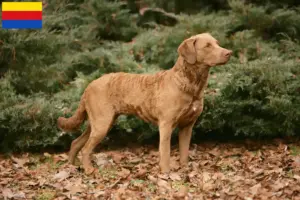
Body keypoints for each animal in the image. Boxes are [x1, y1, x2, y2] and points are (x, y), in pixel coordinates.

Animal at [58, 32, 232, 173]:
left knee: (76, 142)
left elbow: (184, 152)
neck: (189, 84)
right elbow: (165, 152)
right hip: (102, 123)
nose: (229, 52)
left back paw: (71, 167)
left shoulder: (187, 126)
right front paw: (166, 173)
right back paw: (88, 170)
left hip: (99, 122)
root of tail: (89, 85)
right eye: (207, 46)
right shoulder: (166, 124)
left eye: (217, 43)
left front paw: (184, 171)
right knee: (85, 148)